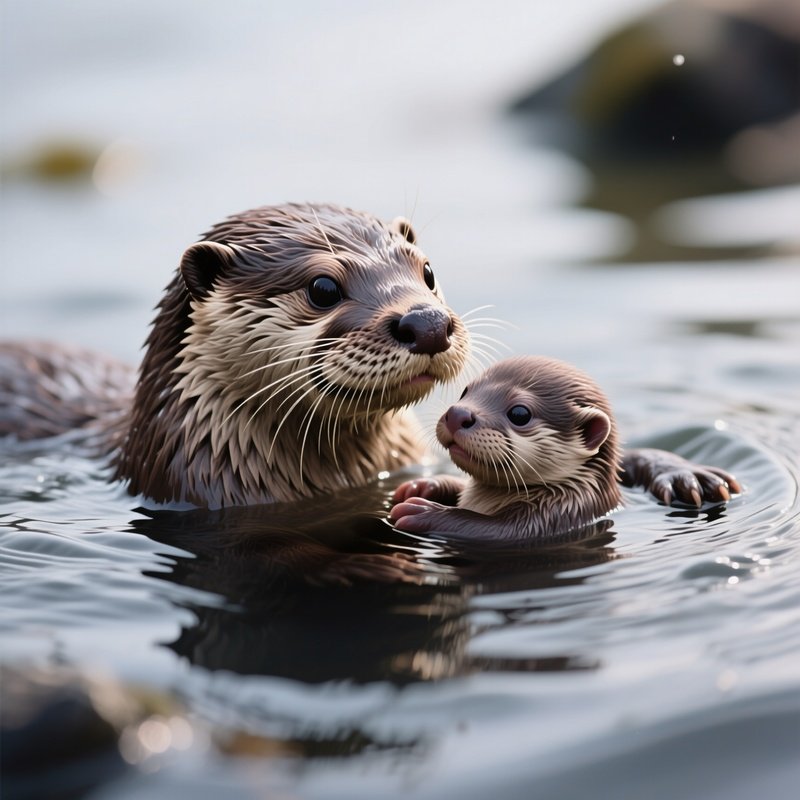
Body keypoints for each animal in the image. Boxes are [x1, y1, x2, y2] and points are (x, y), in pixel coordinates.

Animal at [390, 355, 736, 540]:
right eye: (465, 391)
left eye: (519, 413)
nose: (457, 414)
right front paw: (424, 486)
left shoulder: (554, 517)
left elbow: (490, 529)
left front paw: (422, 511)